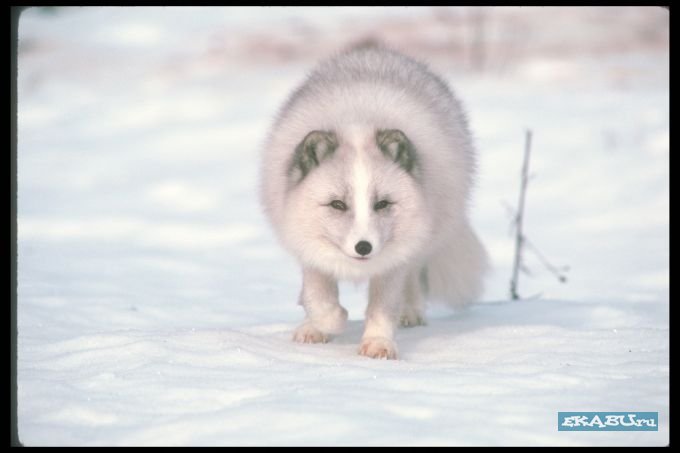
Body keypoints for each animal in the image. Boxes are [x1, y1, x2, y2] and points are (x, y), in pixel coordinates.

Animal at [258, 43, 486, 360]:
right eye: (337, 204)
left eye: (382, 204)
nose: (364, 247)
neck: (357, 120)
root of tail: (375, 51)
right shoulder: (308, 247)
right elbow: (318, 297)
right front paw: (329, 321)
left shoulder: (393, 261)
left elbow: (383, 307)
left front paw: (378, 344)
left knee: (413, 276)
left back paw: (410, 312)